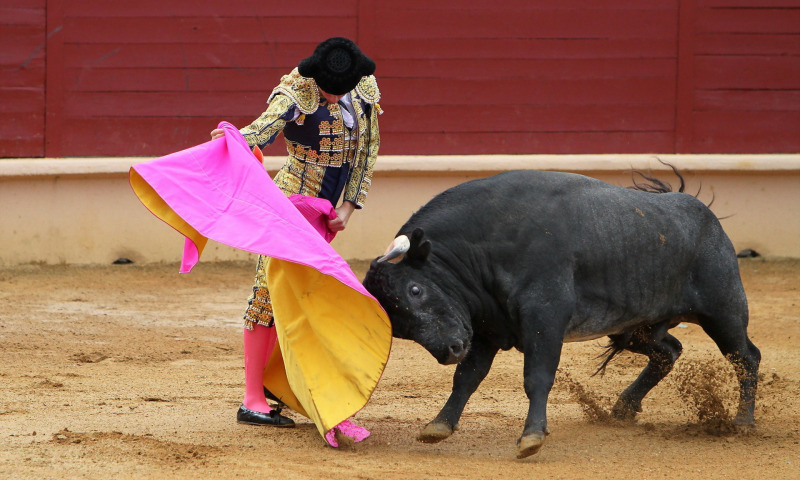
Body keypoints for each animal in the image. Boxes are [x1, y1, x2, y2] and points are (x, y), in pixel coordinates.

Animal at [366, 169, 760, 458]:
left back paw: (743, 421)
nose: (449, 351)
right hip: (633, 326)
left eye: (415, 290)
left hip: (722, 309)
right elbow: (466, 377)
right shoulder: (486, 328)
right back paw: (623, 408)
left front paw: (531, 438)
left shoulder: (544, 317)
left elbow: (537, 377)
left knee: (745, 356)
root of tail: (704, 214)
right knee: (669, 351)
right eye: (400, 328)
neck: (487, 242)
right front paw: (439, 426)